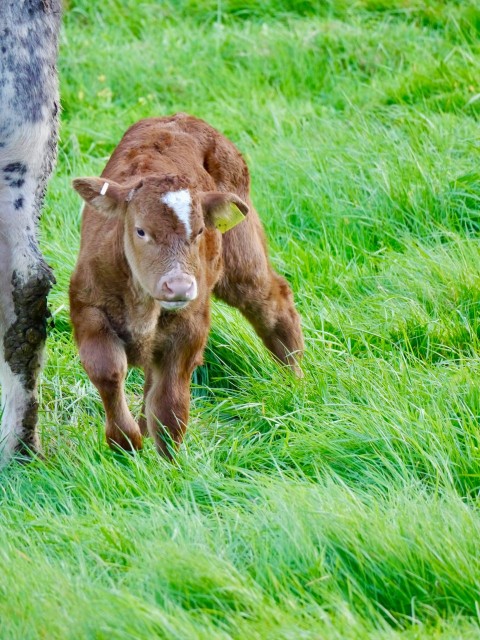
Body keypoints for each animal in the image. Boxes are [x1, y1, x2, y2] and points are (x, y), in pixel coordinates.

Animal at [70, 114, 304, 458]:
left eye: (201, 231)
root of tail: (180, 117)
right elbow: (108, 371)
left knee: (274, 302)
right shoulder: (87, 306)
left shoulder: (190, 324)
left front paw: (169, 462)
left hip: (242, 255)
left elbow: (170, 402)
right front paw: (126, 442)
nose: (178, 286)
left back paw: (295, 381)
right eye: (140, 230)